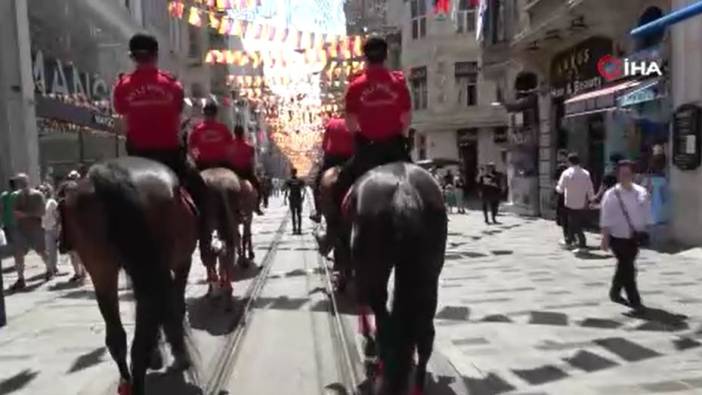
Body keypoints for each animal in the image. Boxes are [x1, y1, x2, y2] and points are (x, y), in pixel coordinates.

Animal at [62, 158, 198, 395]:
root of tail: (113, 175)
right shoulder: (181, 264)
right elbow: (176, 307)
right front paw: (176, 352)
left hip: (102, 270)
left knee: (118, 338)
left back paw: (128, 381)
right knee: (143, 337)